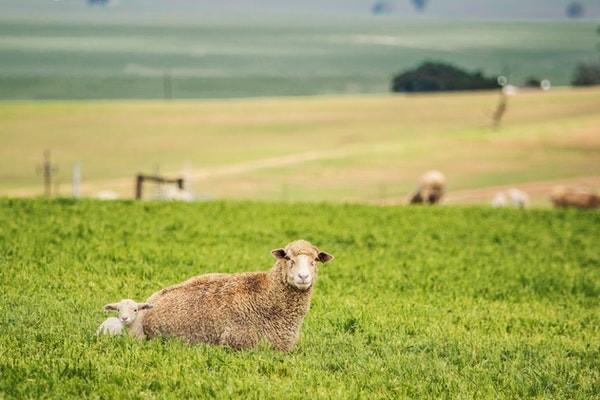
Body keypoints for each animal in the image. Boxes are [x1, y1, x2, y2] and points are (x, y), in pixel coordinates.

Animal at [132, 241, 336, 350]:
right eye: (287, 258)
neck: (267, 295)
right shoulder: (239, 343)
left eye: (315, 260)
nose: (303, 277)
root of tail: (149, 301)